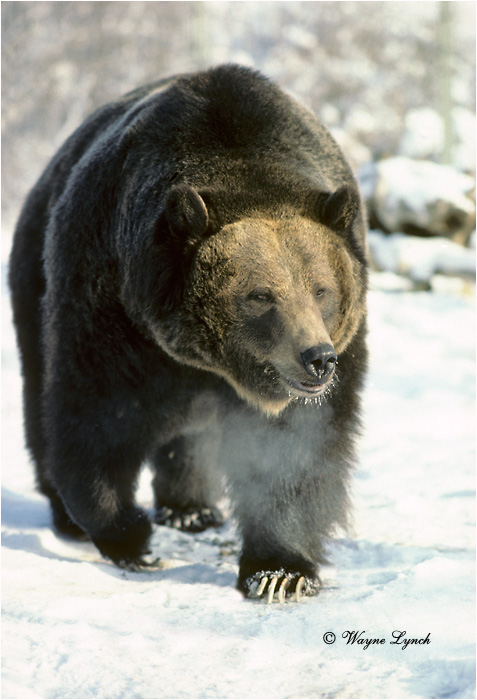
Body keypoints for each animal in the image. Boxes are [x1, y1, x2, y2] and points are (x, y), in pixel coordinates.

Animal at [9, 64, 368, 602]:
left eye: (322, 289)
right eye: (260, 295)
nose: (317, 358)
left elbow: (295, 448)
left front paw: (280, 572)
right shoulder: (111, 310)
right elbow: (96, 418)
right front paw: (130, 537)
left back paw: (191, 508)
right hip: (34, 277)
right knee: (40, 397)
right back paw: (70, 516)